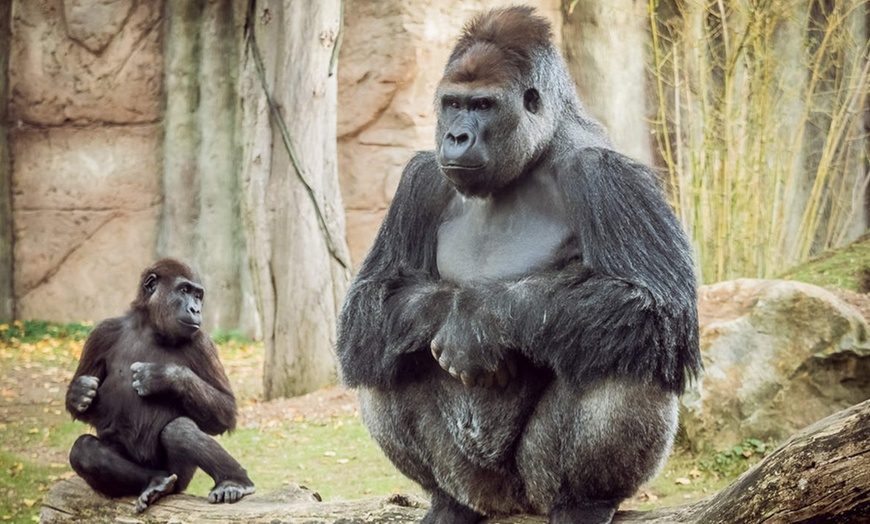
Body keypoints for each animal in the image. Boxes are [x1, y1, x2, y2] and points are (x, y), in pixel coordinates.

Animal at [64, 258, 255, 512]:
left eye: (198, 296)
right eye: (184, 290)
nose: (196, 310)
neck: (150, 328)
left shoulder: (202, 343)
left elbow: (226, 411)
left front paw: (165, 377)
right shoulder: (101, 334)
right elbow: (84, 406)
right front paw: (79, 393)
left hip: (182, 478)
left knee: (179, 430)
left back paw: (234, 481)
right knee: (84, 450)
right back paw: (155, 482)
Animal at [338, 5, 704, 524]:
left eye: (483, 106)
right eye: (453, 103)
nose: (456, 135)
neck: (536, 151)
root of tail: (509, 503)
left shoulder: (607, 174)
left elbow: (658, 305)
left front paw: (477, 320)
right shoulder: (421, 180)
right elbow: (368, 301)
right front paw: (448, 310)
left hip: (536, 486)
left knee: (623, 345)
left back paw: (585, 503)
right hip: (473, 481)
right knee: (379, 352)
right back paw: (448, 503)